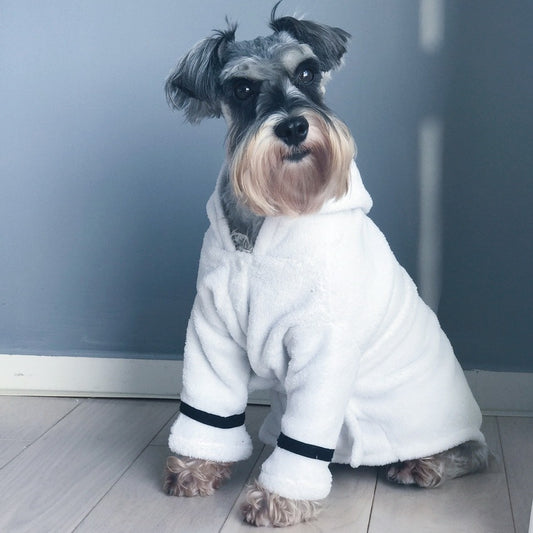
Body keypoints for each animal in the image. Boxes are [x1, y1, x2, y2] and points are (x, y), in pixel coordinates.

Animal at [161, 5, 486, 528]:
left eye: (308, 72)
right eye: (242, 89)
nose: (294, 127)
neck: (259, 232)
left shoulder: (324, 348)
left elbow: (303, 442)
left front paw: (278, 499)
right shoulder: (211, 335)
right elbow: (207, 412)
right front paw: (194, 468)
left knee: (472, 453)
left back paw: (422, 464)